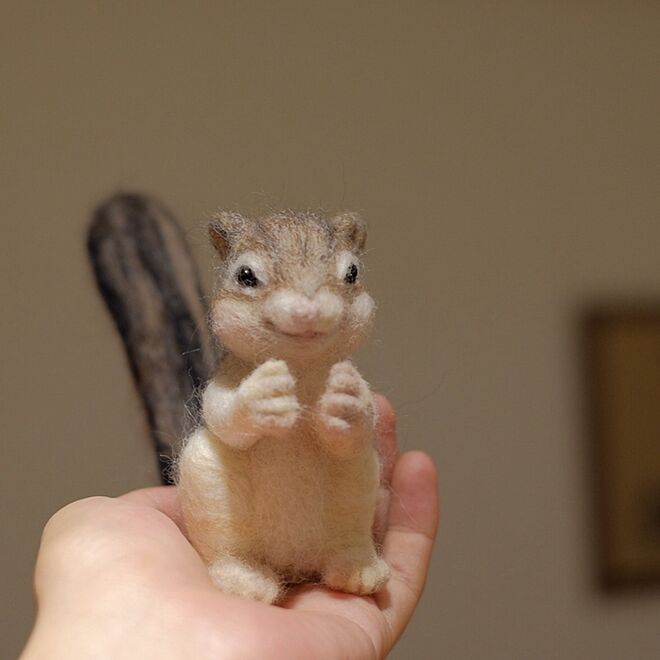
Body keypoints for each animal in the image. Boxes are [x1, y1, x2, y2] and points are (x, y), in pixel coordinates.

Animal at [178, 210, 390, 604]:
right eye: (245, 275)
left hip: (357, 480)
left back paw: (357, 570)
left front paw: (347, 403)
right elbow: (224, 415)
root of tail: (293, 564)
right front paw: (261, 397)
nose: (307, 310)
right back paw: (243, 578)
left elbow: (362, 425)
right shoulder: (225, 381)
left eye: (352, 273)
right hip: (208, 481)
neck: (299, 367)